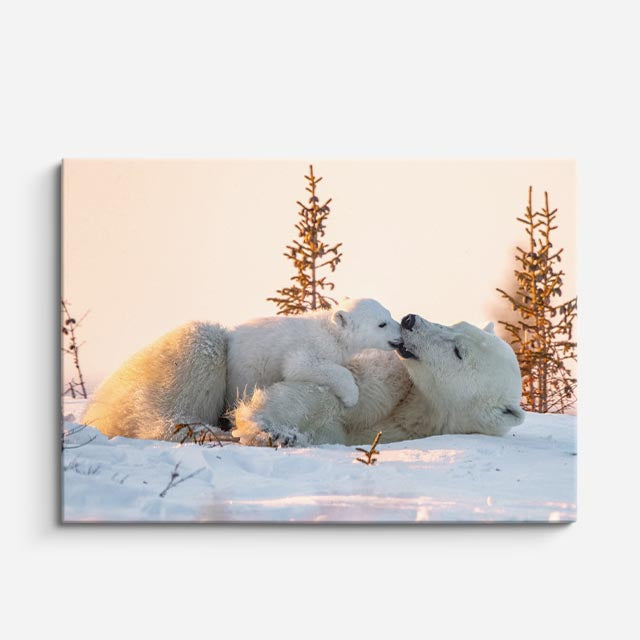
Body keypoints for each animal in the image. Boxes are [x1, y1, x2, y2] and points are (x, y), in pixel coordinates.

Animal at [226, 297, 402, 409]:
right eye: (382, 324)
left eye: (389, 314)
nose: (401, 329)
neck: (332, 332)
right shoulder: (309, 346)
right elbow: (300, 365)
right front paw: (351, 397)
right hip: (248, 370)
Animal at [231, 313, 526, 446]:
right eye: (457, 324)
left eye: (458, 352)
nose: (410, 320)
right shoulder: (390, 378)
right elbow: (325, 392)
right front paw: (272, 430)